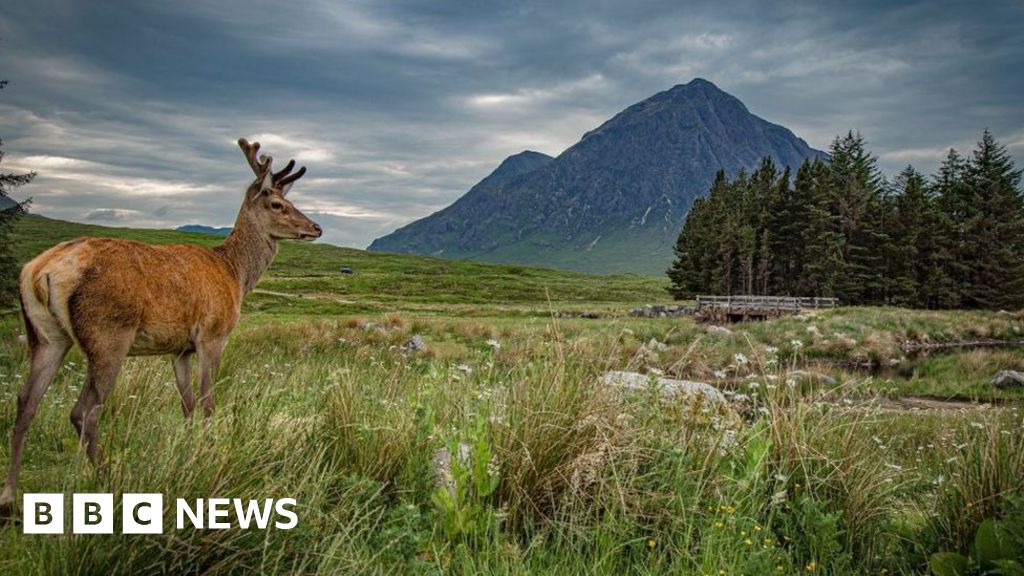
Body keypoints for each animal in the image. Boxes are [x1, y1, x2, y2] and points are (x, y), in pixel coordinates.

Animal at [0, 138, 322, 517]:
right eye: (278, 204)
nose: (316, 227)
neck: (235, 275)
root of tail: (41, 270)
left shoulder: (179, 348)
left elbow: (187, 404)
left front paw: (188, 452)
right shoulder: (213, 335)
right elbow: (208, 401)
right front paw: (209, 454)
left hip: (45, 335)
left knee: (26, 402)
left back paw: (9, 496)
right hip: (107, 334)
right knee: (84, 412)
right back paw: (110, 484)